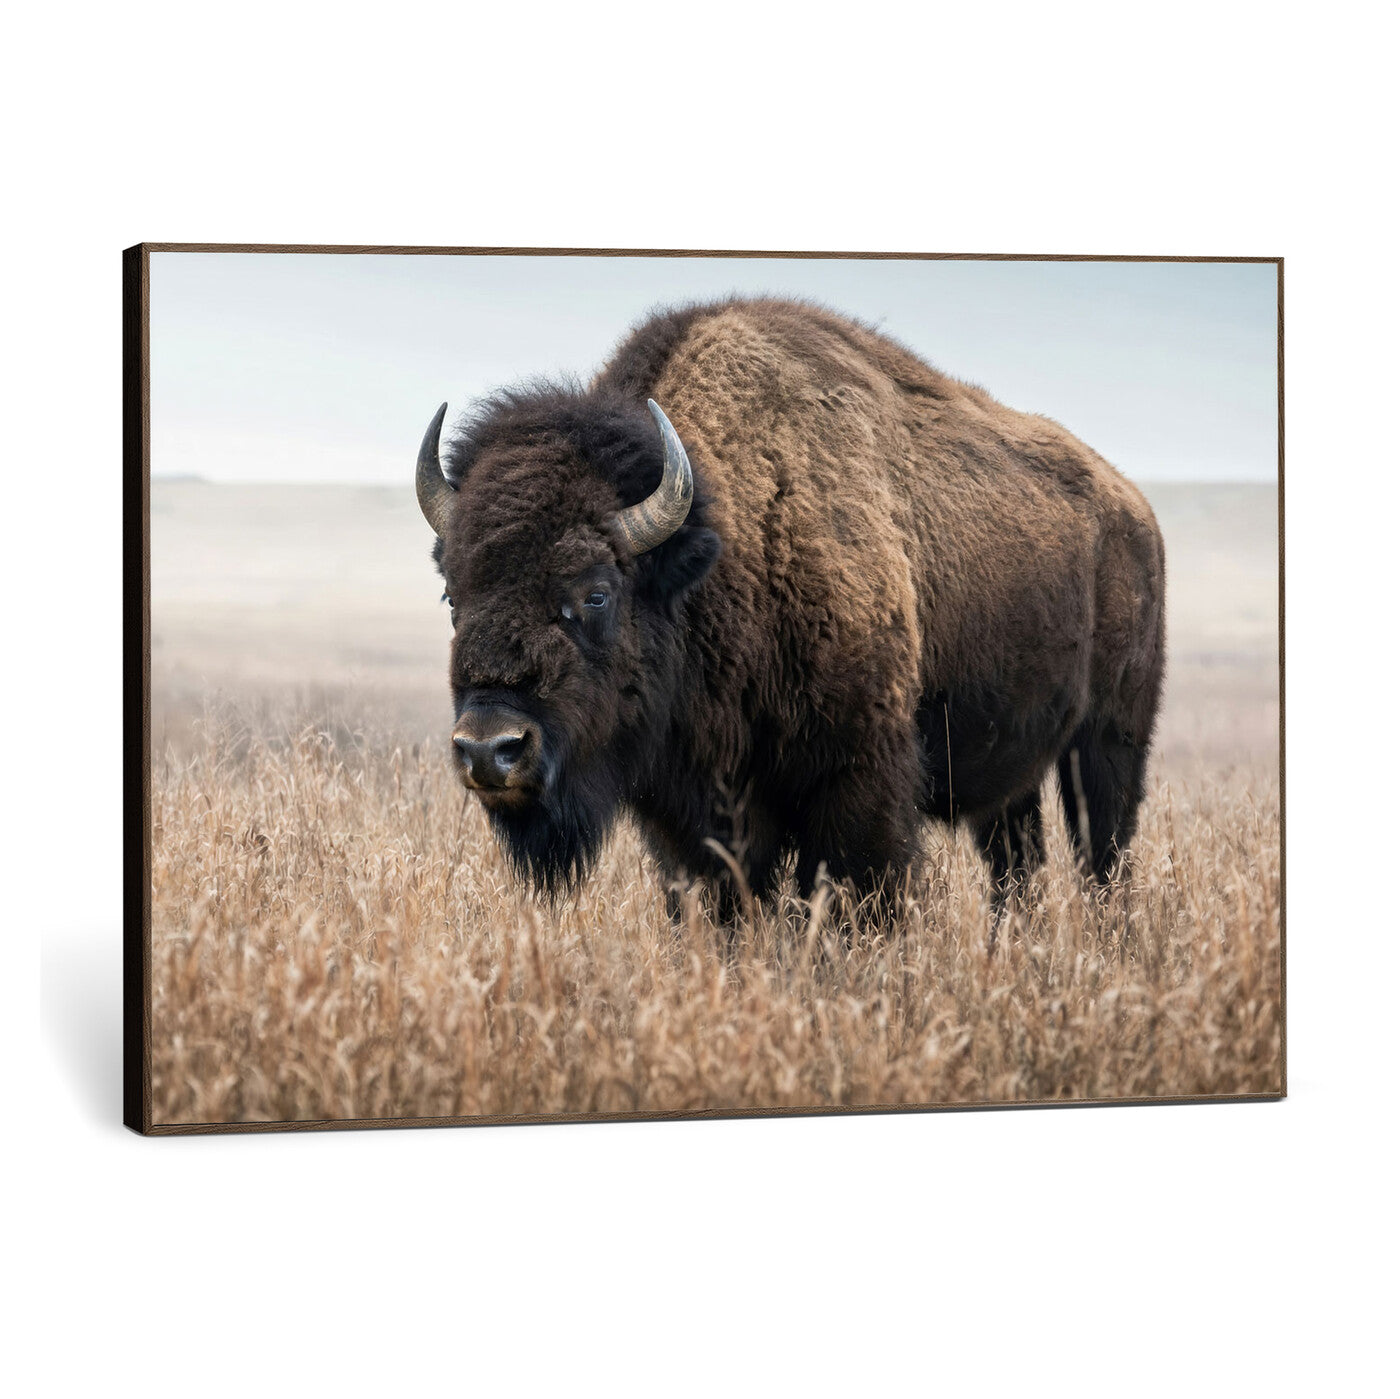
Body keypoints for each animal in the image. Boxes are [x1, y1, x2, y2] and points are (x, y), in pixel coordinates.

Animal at [415, 297, 1165, 913]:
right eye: (454, 592)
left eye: (595, 592)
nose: (489, 749)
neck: (725, 543)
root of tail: (1134, 509)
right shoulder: (693, 817)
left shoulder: (858, 785)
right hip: (1013, 771)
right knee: (1018, 866)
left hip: (1110, 740)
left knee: (1103, 859)